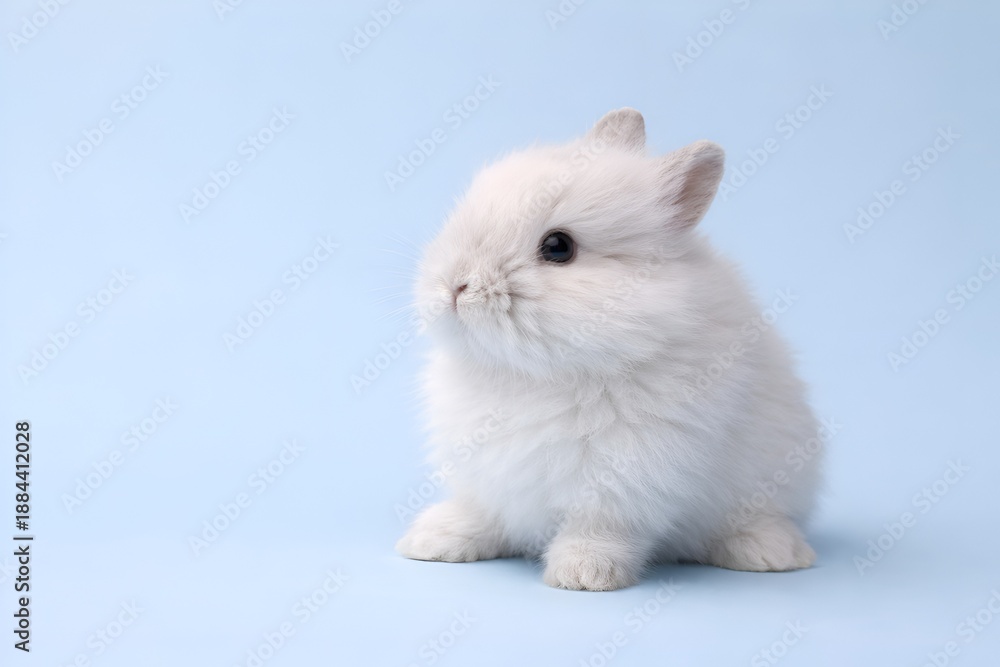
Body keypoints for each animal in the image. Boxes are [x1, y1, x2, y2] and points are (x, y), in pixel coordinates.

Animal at [396, 108, 822, 591]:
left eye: (558, 247)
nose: (455, 285)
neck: (530, 374)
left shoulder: (625, 480)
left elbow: (601, 526)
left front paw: (583, 573)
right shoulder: (485, 473)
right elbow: (481, 511)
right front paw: (433, 541)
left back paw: (771, 553)